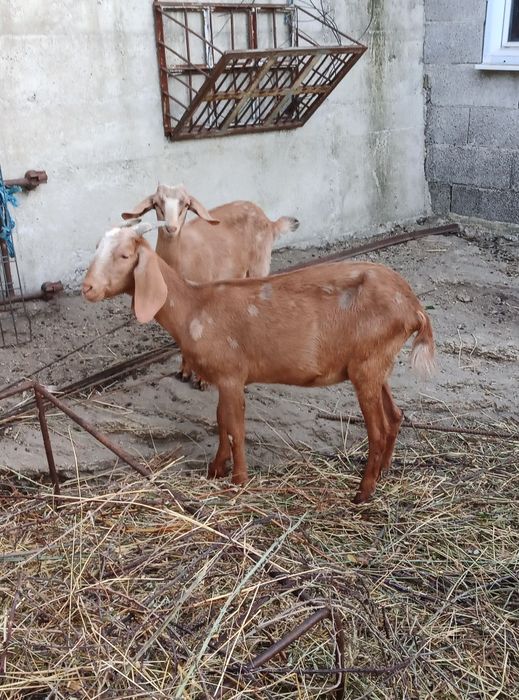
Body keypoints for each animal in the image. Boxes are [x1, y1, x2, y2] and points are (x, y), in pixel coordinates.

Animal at [82, 224, 436, 504]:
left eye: (124, 256)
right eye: (96, 248)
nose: (88, 288)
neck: (194, 307)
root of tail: (414, 307)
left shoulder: (230, 376)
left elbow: (235, 428)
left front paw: (238, 482)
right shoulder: (224, 378)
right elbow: (221, 422)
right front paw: (215, 470)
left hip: (366, 367)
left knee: (379, 429)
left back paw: (363, 492)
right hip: (377, 365)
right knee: (396, 416)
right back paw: (384, 471)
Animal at [121, 184, 299, 386]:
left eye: (186, 204)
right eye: (157, 204)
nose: (171, 227)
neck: (181, 257)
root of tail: (270, 221)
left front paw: (202, 380)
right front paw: (184, 372)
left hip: (259, 265)